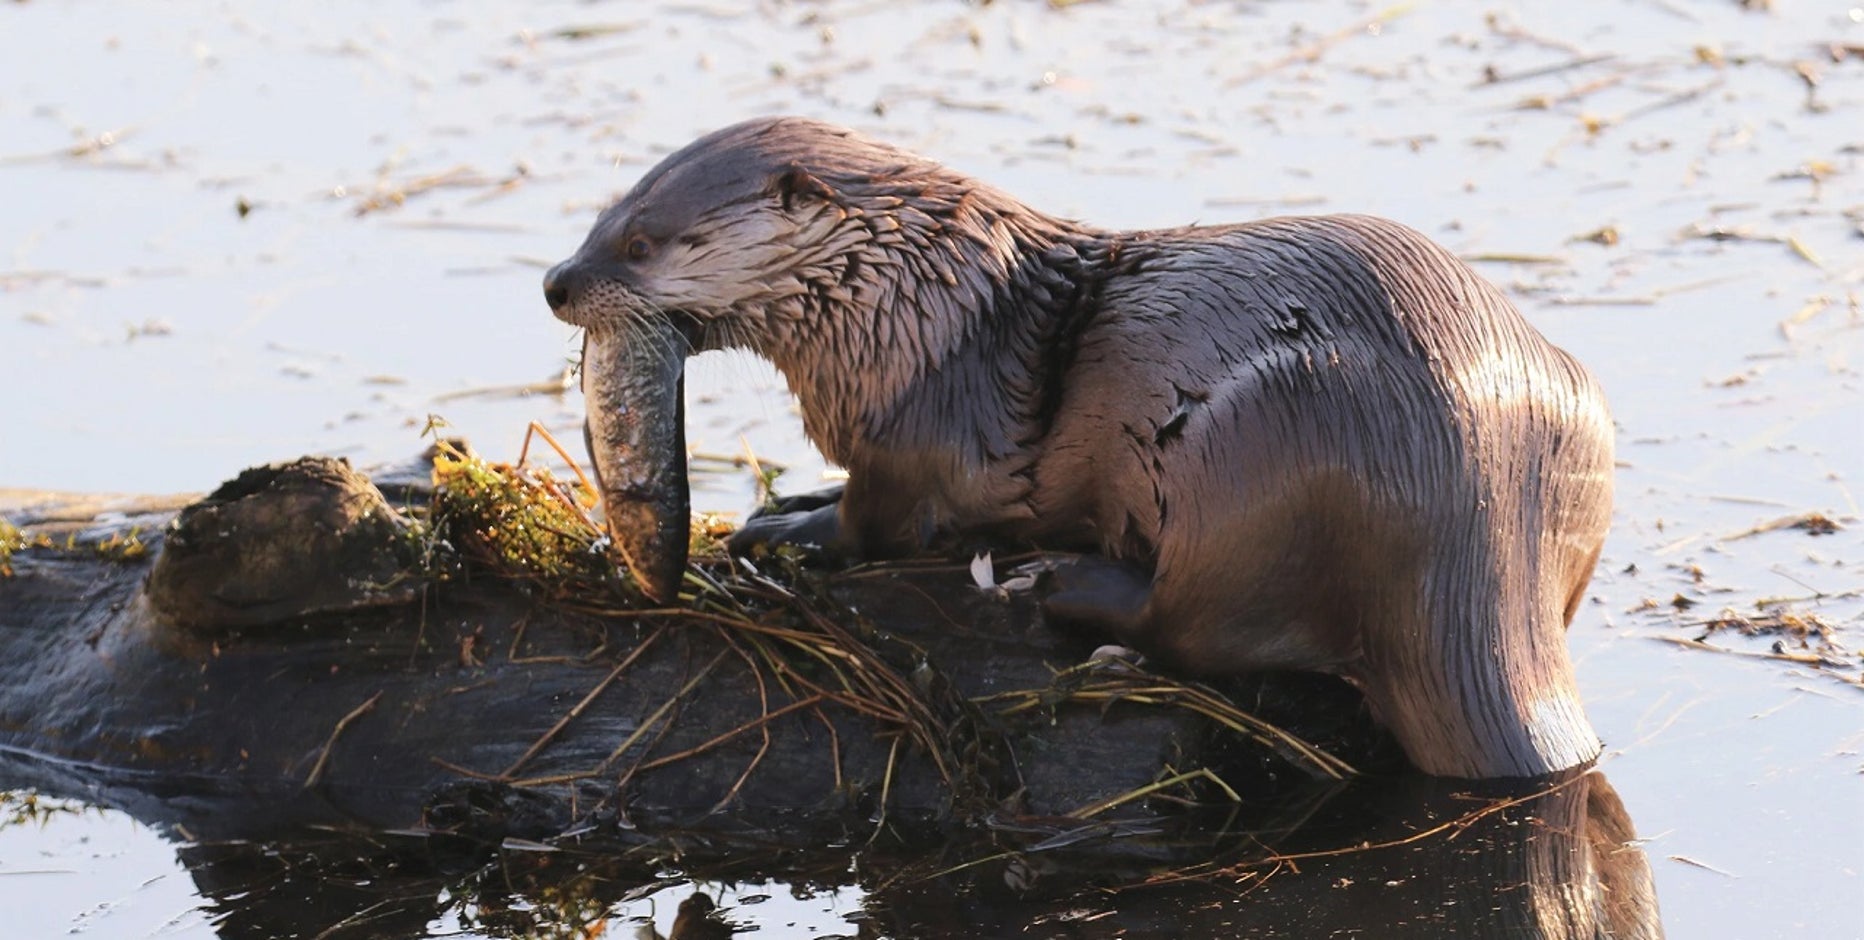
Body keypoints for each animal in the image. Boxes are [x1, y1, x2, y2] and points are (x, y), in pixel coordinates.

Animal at [543, 116, 1615, 780]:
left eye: (641, 243)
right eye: (600, 216)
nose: (556, 281)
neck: (909, 309)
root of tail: (1477, 528)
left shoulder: (913, 435)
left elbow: (878, 521)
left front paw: (787, 529)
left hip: (1264, 455)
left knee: (1195, 628)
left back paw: (1069, 586)